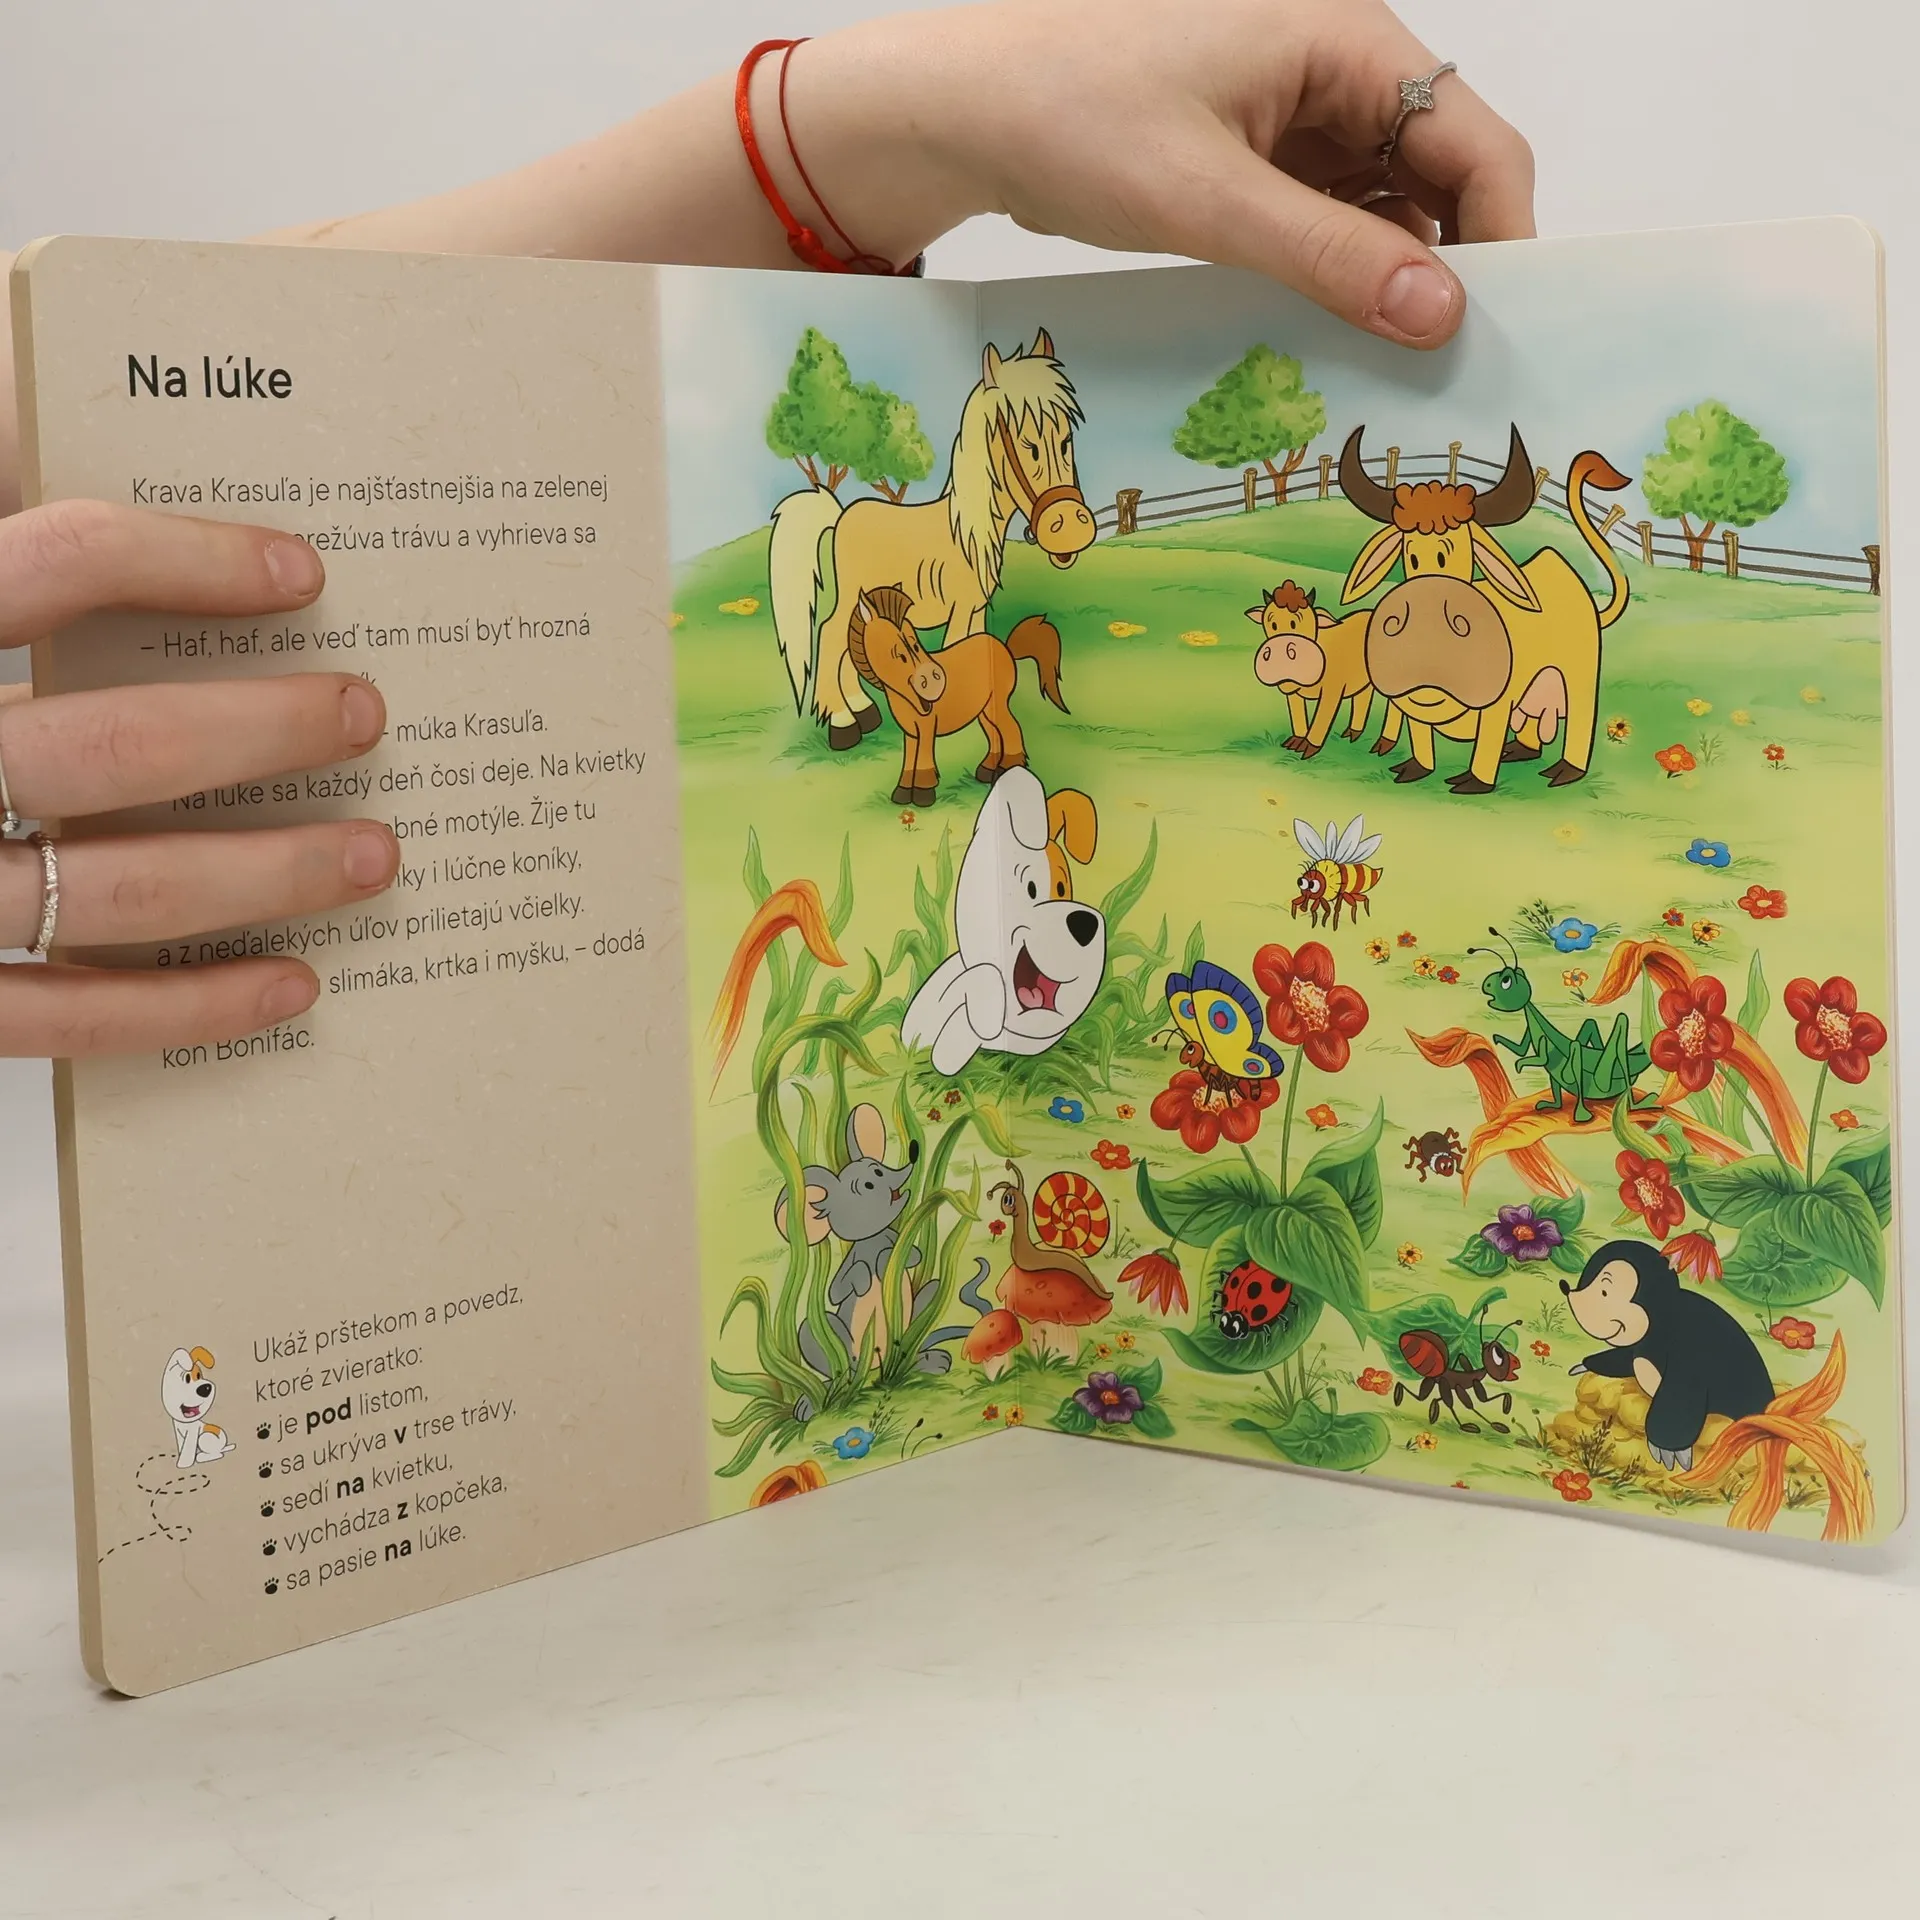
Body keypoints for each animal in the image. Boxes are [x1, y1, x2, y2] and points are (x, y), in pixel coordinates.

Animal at [768, 328, 1095, 749]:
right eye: (1028, 445)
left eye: (1066, 440)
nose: (1070, 526)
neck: (968, 533)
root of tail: (841, 515)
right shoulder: (959, 609)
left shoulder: (975, 609)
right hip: (852, 593)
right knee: (829, 634)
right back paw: (842, 723)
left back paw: (864, 711)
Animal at [845, 586, 1067, 806]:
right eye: (897, 654)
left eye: (915, 645)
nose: (934, 677)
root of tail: (1004, 647)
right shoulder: (910, 732)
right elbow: (909, 760)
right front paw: (903, 792)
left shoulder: (927, 727)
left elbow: (924, 757)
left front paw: (924, 793)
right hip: (985, 710)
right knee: (994, 733)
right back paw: (989, 770)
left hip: (999, 704)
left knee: (1011, 727)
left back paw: (1008, 768)